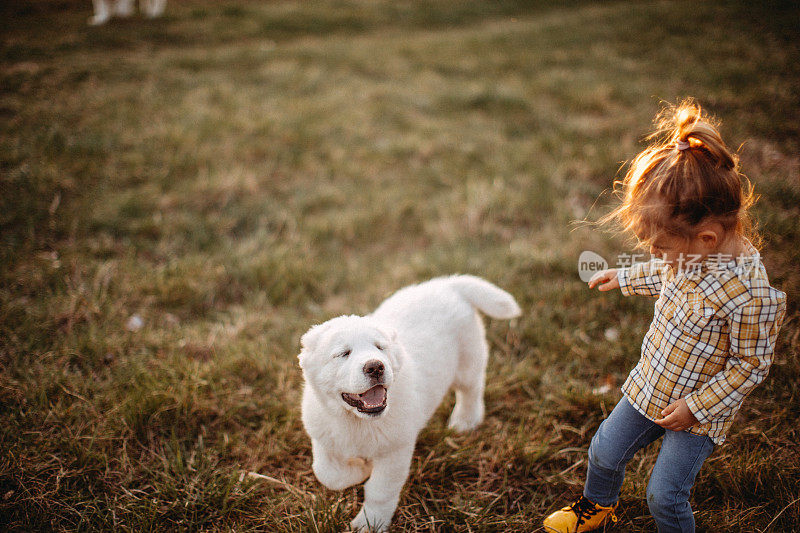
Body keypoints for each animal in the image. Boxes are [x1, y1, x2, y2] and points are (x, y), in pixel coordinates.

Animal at [298, 276, 520, 528]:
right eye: (343, 353)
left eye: (380, 347)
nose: (375, 366)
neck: (355, 421)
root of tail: (448, 284)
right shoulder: (323, 436)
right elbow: (326, 473)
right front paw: (361, 469)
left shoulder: (395, 450)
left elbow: (380, 491)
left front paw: (369, 523)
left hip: (468, 360)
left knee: (471, 390)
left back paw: (465, 421)